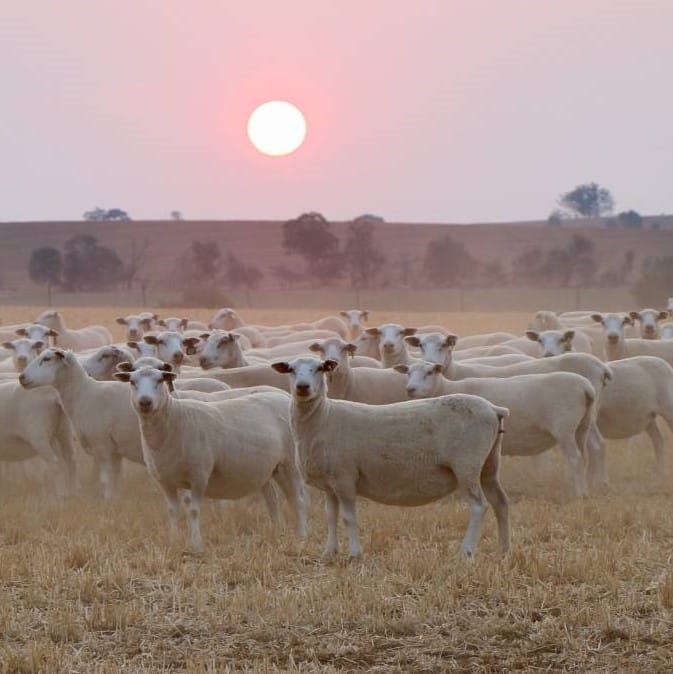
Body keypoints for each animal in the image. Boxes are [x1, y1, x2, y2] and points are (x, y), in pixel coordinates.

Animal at [20, 348, 145, 498]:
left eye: (47, 359)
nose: (21, 377)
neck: (84, 393)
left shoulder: (102, 446)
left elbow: (106, 482)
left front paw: (107, 500)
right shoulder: (115, 451)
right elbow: (117, 481)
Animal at [113, 366, 307, 552]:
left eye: (160, 380)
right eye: (132, 382)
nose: (145, 402)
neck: (175, 419)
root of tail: (283, 396)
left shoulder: (199, 475)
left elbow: (193, 511)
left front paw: (196, 545)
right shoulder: (165, 480)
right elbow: (172, 511)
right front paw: (174, 542)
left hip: (291, 463)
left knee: (298, 501)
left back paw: (301, 536)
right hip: (269, 468)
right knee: (273, 500)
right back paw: (277, 532)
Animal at [271, 357, 510, 558]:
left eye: (320, 368)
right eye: (291, 369)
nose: (303, 387)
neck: (324, 417)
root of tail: (494, 409)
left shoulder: (345, 477)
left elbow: (348, 518)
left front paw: (355, 554)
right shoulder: (330, 483)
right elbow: (330, 516)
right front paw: (329, 553)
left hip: (466, 464)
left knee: (479, 506)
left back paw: (466, 551)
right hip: (489, 464)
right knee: (500, 502)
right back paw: (504, 550)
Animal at [396, 360, 597, 497]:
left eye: (429, 372)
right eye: (408, 372)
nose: (410, 389)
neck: (446, 389)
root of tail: (586, 388)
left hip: (564, 428)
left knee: (575, 458)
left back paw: (578, 493)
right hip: (582, 426)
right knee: (584, 457)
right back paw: (585, 489)